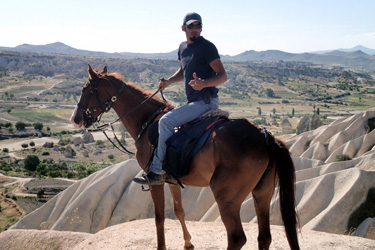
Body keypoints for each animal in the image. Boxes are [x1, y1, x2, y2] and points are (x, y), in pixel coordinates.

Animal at [70, 65, 300, 250]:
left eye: (85, 90)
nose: (75, 119)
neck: (147, 120)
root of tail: (264, 136)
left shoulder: (155, 179)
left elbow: (159, 218)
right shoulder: (172, 179)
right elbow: (179, 211)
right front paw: (188, 242)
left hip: (227, 198)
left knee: (237, 238)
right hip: (263, 192)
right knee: (264, 237)